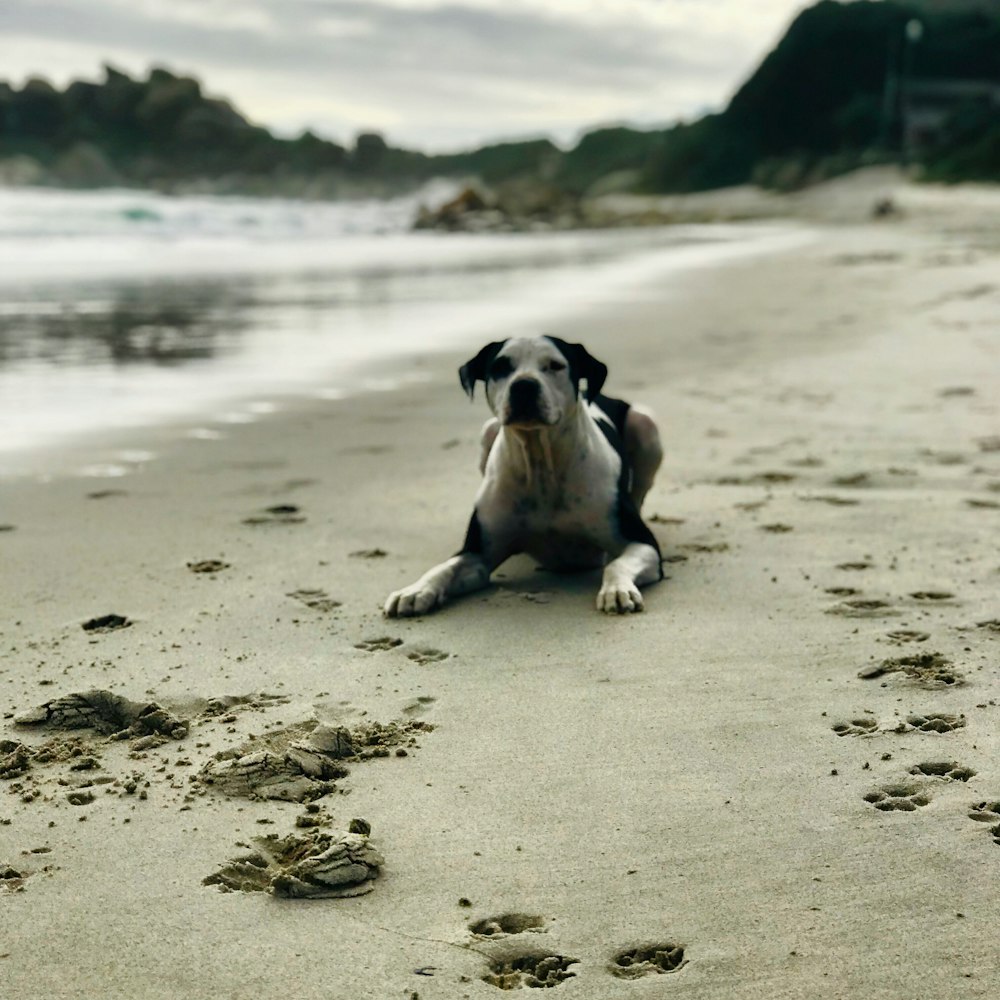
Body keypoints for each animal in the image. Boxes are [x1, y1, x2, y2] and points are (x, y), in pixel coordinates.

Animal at [382, 340, 664, 612]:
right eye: (500, 367)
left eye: (555, 365)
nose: (524, 385)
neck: (540, 464)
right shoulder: (477, 554)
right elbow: (445, 567)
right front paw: (416, 590)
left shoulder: (642, 543)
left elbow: (617, 564)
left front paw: (616, 590)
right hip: (488, 430)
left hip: (645, 424)